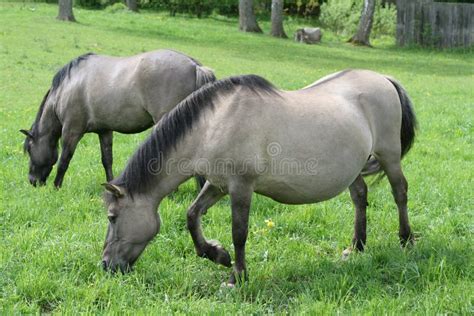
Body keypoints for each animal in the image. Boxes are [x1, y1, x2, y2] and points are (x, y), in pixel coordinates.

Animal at [20, 49, 215, 188]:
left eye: (29, 149)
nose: (33, 181)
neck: (67, 88)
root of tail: (194, 66)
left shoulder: (72, 131)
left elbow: (64, 160)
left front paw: (56, 186)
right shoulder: (104, 131)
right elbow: (107, 160)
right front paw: (110, 184)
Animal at [100, 69, 414, 286]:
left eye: (112, 217)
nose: (105, 265)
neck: (214, 124)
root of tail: (384, 79)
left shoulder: (241, 187)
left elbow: (239, 232)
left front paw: (236, 277)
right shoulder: (218, 184)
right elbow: (192, 215)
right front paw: (216, 254)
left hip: (389, 155)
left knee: (400, 192)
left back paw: (406, 240)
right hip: (353, 169)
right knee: (360, 196)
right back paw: (356, 247)